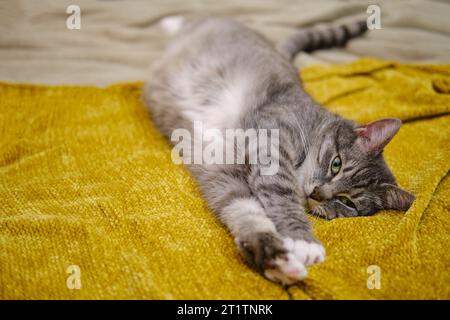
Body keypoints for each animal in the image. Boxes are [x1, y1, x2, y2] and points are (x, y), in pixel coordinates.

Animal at [144, 16, 414, 284]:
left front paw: (276, 260)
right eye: (336, 164)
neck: (313, 123)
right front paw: (303, 241)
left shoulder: (222, 170)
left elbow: (246, 212)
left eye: (347, 202)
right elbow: (281, 194)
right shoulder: (271, 141)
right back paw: (171, 23)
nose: (317, 194)